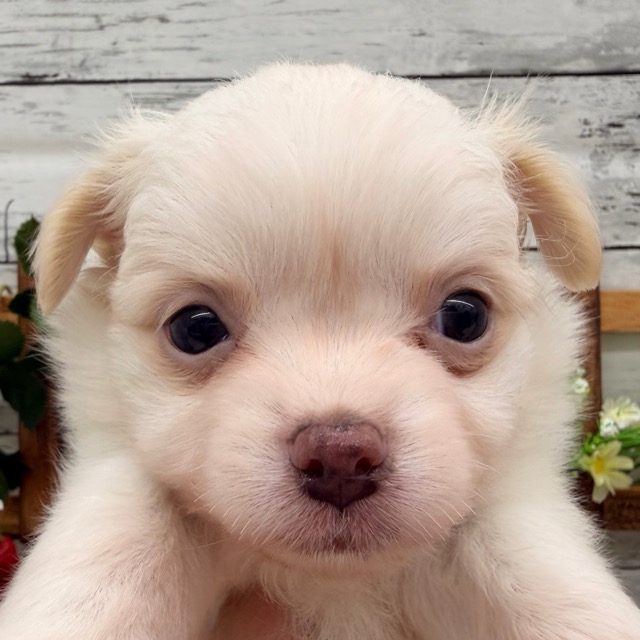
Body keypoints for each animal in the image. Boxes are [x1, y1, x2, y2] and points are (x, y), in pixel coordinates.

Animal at [0, 63, 639, 640]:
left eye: (465, 315)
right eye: (195, 329)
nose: (340, 457)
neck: (330, 581)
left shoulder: (505, 509)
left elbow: (543, 584)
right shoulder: (127, 476)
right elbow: (115, 557)